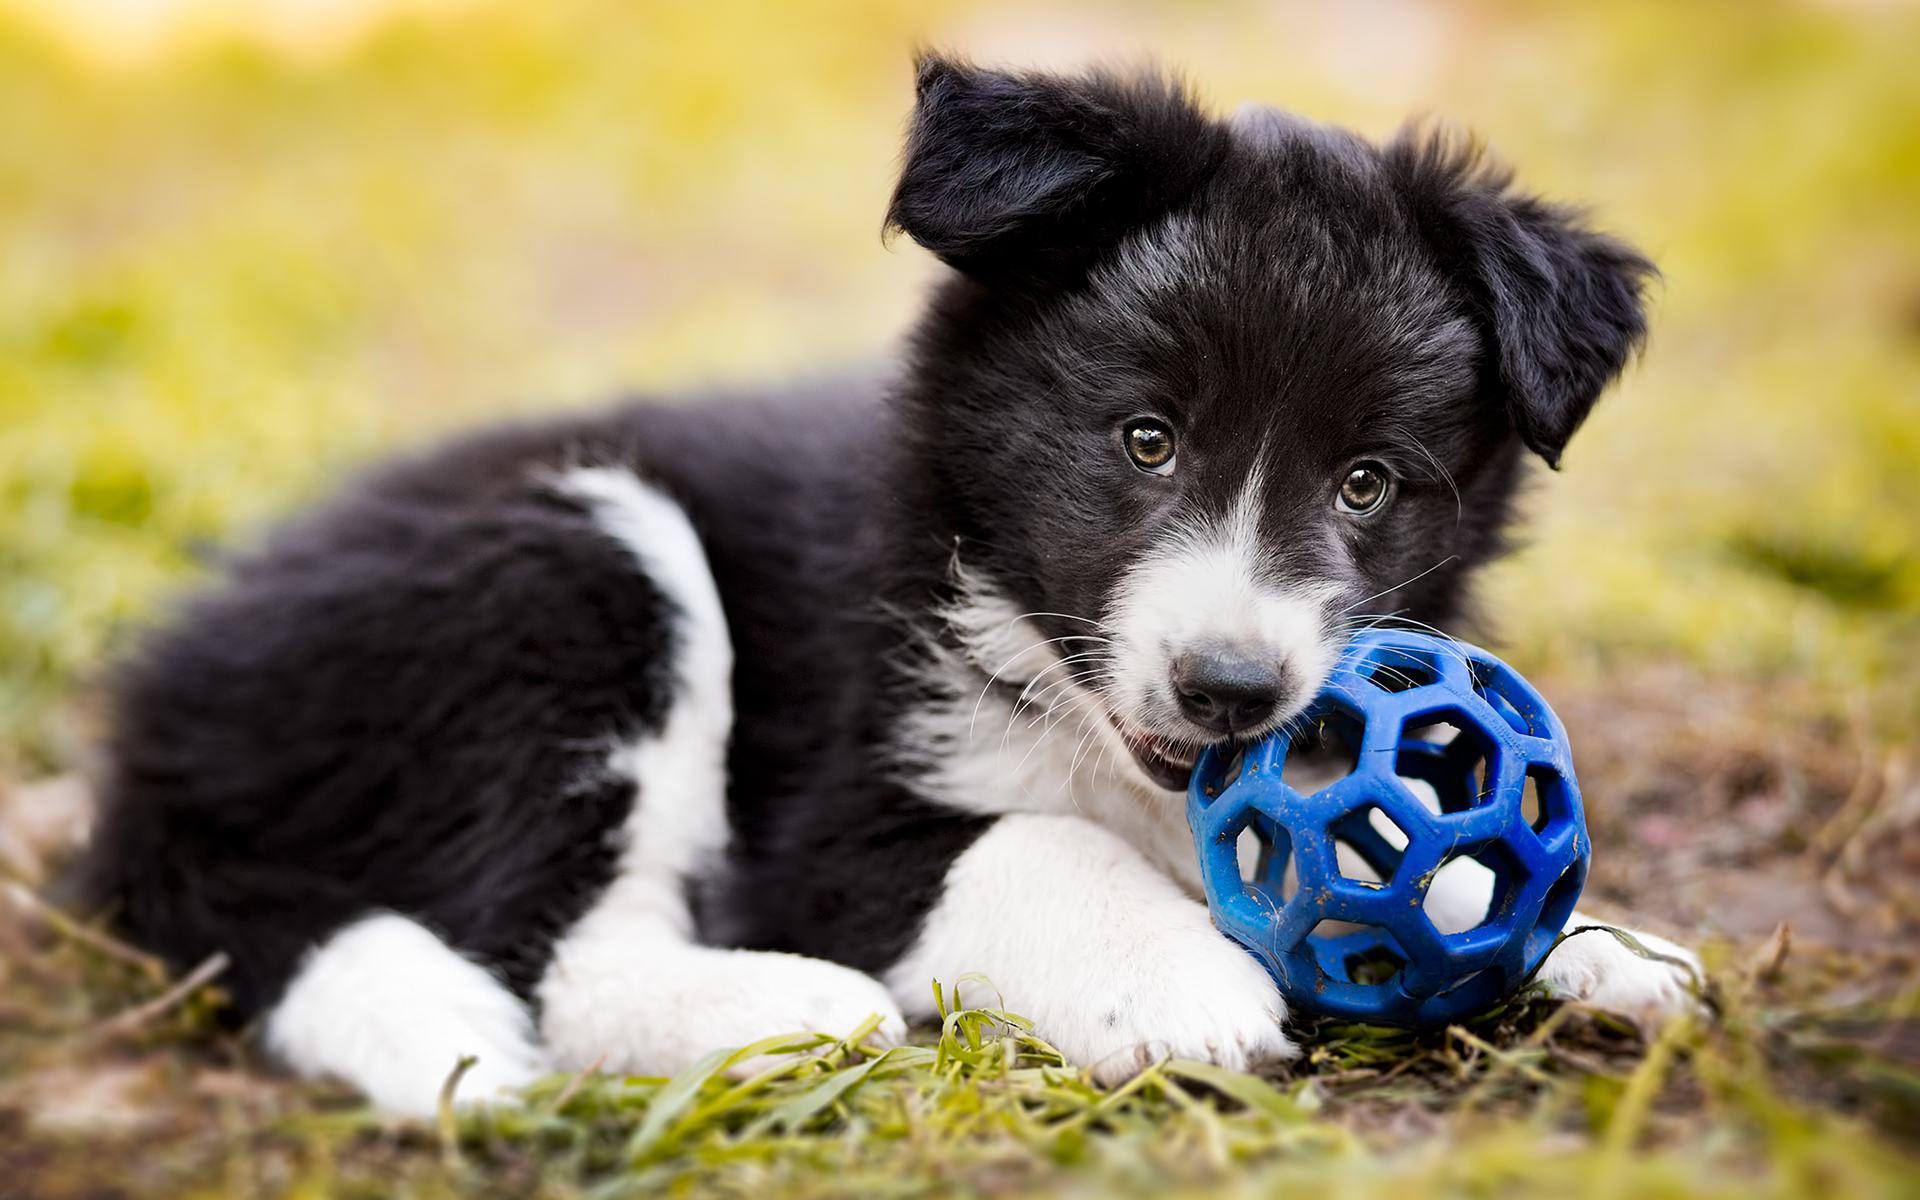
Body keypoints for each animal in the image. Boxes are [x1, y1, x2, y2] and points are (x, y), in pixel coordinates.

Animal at [82, 58, 1697, 1113]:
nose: (1230, 691)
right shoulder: (829, 818)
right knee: (553, 955)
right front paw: (1176, 984)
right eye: (1147, 439)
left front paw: (1592, 944)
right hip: (573, 571)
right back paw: (789, 1010)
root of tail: (160, 718)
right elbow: (1036, 843)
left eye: (1367, 483)